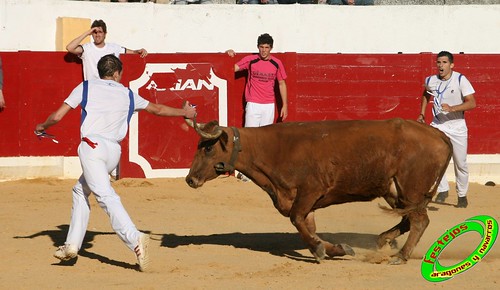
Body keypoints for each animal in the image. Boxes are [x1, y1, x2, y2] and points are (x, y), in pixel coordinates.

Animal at [185, 118, 454, 266]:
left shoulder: (310, 191)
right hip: (394, 190)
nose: (190, 179)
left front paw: (319, 250)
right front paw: (336, 249)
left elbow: (297, 220)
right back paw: (382, 241)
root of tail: (437, 133)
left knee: (419, 220)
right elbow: (308, 227)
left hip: (411, 188)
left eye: (208, 148)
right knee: (408, 219)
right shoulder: (304, 202)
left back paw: (401, 255)